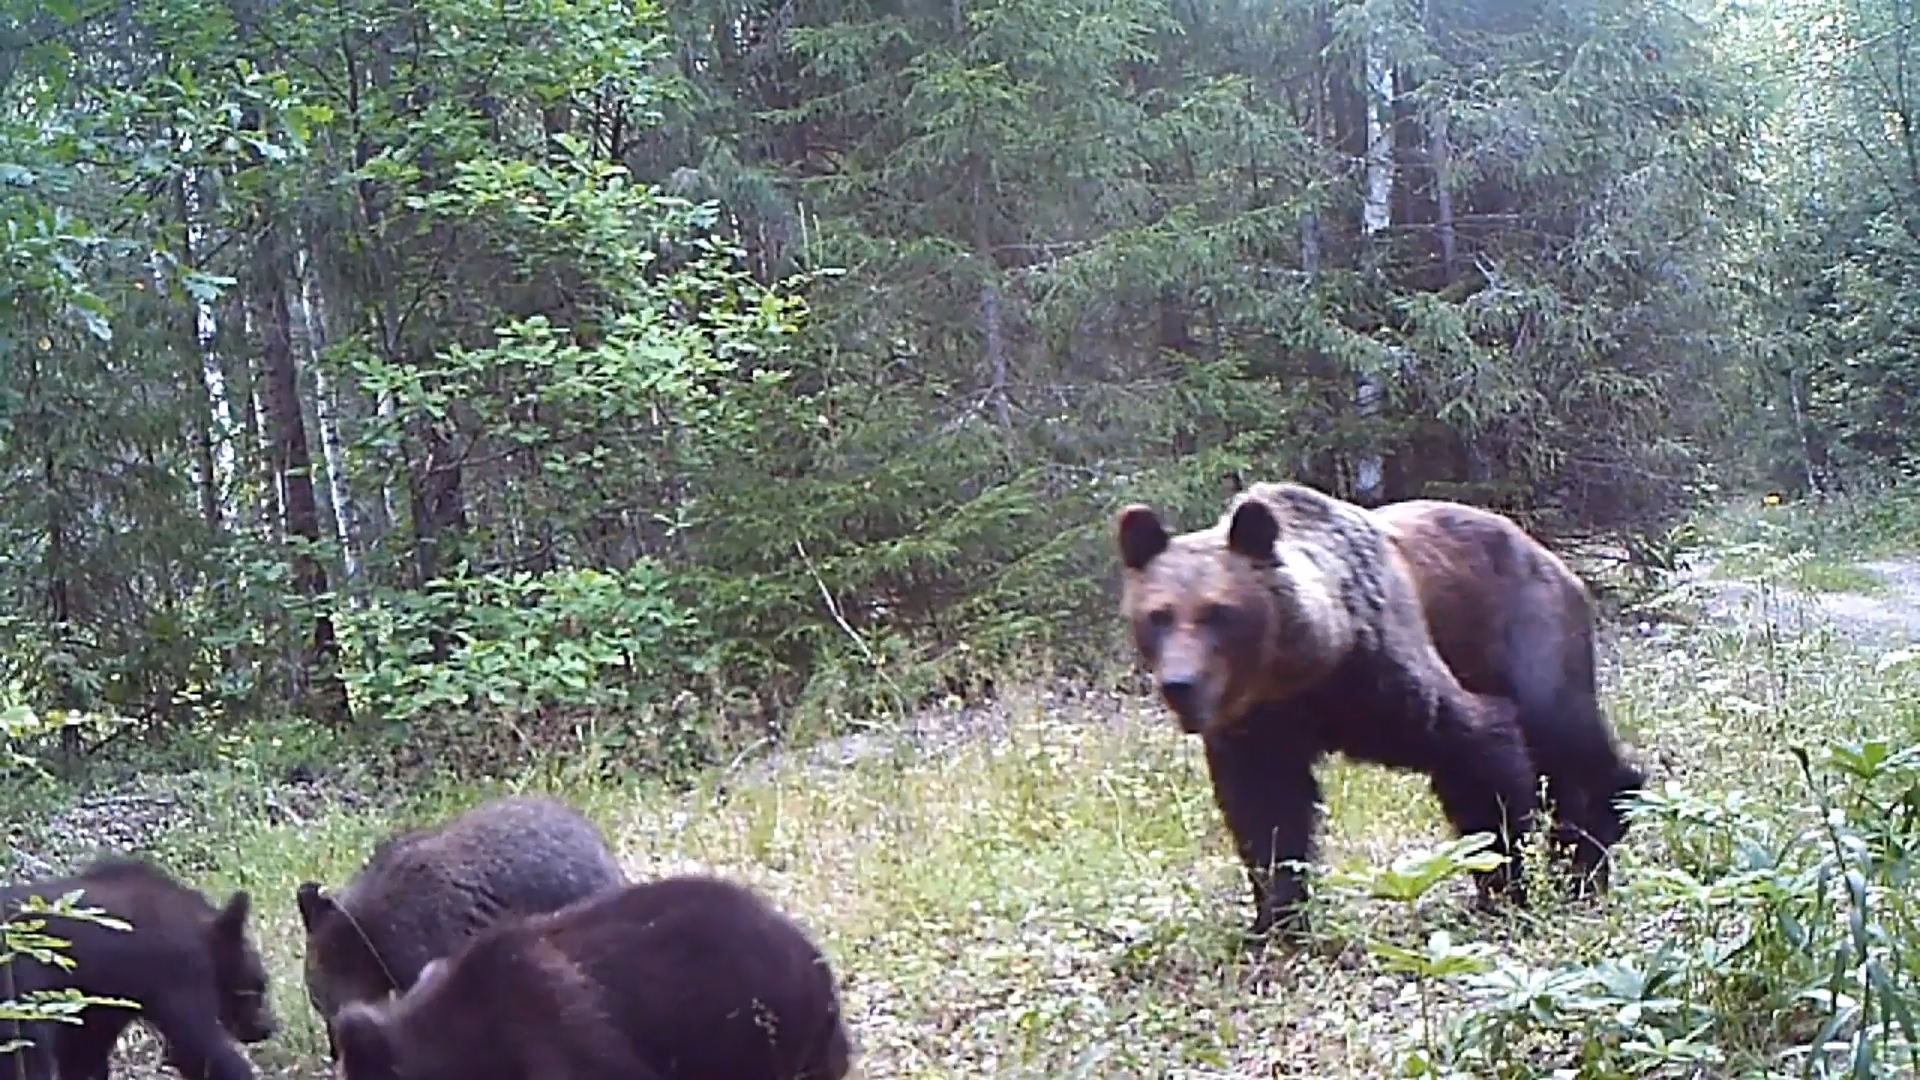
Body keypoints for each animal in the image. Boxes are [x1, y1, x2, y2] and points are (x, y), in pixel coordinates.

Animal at [1113, 474, 1543, 937]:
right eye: (1158, 615)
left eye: (1218, 612)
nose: (1180, 683)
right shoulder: (1259, 728)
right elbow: (1268, 813)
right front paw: (1277, 918)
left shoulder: (1387, 678)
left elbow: (1479, 751)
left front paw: (1505, 888)